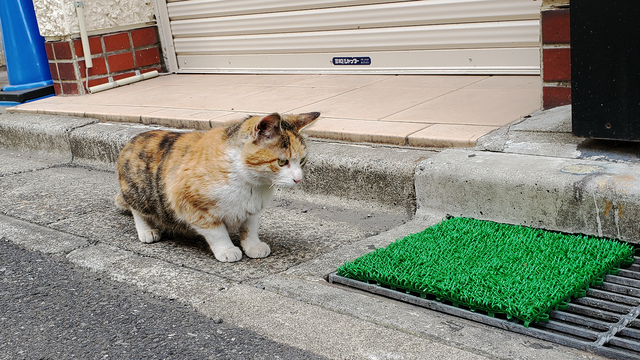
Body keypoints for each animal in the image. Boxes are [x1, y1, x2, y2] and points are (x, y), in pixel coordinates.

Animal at [115, 112, 320, 262]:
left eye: (302, 160)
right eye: (282, 161)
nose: (299, 179)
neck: (249, 183)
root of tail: (132, 140)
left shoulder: (252, 208)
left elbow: (250, 228)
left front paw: (253, 245)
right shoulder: (189, 203)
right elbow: (216, 231)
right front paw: (227, 249)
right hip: (140, 193)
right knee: (137, 210)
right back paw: (147, 231)